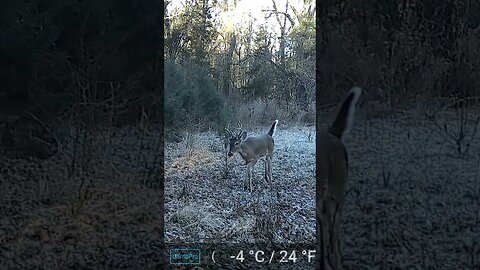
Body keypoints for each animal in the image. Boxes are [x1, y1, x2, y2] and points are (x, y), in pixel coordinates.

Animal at [316, 87, 362, 270]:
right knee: (328, 227)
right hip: (326, 198)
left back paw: (335, 260)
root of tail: (333, 135)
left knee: (334, 229)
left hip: (336, 190)